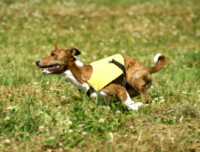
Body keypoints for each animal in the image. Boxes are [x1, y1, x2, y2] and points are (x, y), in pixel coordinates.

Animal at [35, 41, 166, 110]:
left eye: (53, 54)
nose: (37, 62)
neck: (80, 75)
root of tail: (147, 69)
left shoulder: (119, 89)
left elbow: (129, 104)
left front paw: (135, 106)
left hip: (132, 78)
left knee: (147, 99)